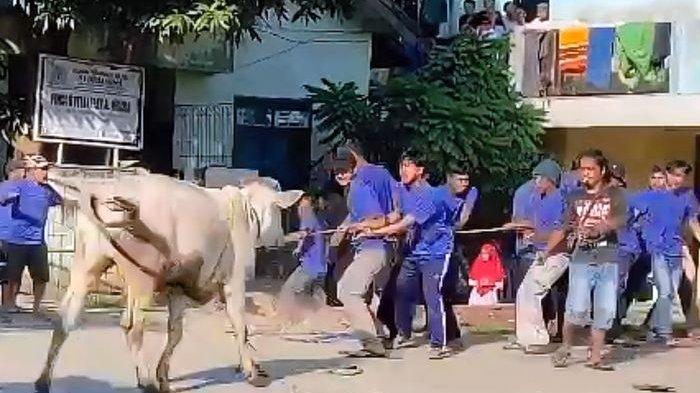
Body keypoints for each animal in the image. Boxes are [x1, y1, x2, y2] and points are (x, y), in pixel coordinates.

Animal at [37, 171, 302, 392]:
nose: (280, 237)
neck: (246, 209)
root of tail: (104, 190)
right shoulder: (234, 280)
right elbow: (240, 325)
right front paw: (251, 370)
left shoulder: (178, 288)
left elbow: (176, 332)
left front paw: (164, 376)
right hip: (141, 276)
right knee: (132, 327)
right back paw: (146, 381)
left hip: (86, 265)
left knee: (65, 319)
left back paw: (43, 380)